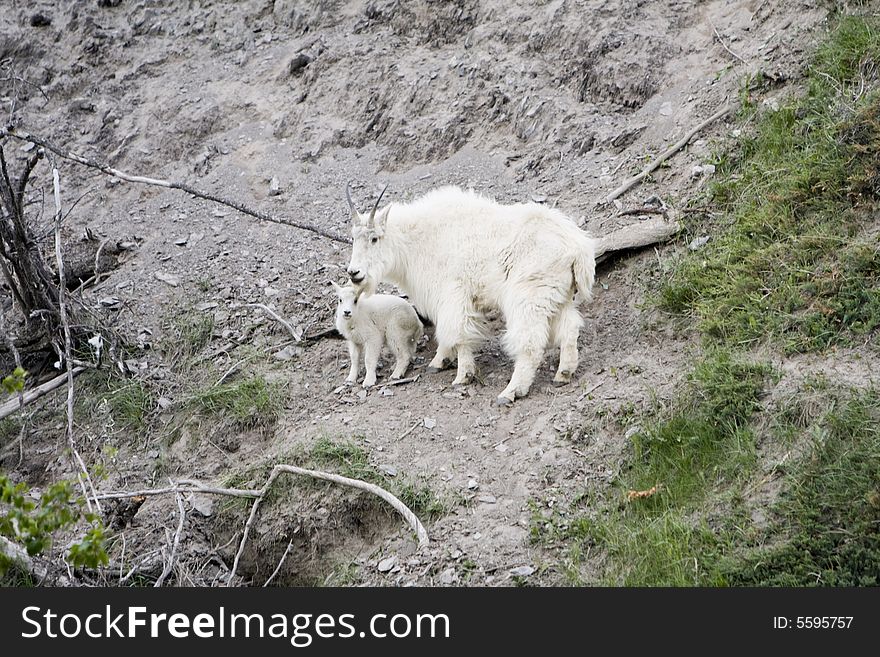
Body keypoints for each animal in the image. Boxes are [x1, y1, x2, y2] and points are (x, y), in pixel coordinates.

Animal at [346, 184, 600, 404]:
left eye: (374, 238)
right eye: (354, 238)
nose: (353, 273)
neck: (417, 241)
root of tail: (578, 248)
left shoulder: (453, 293)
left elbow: (457, 333)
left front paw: (462, 375)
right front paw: (439, 361)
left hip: (529, 297)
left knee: (530, 343)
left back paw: (511, 391)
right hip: (559, 297)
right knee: (569, 330)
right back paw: (563, 374)